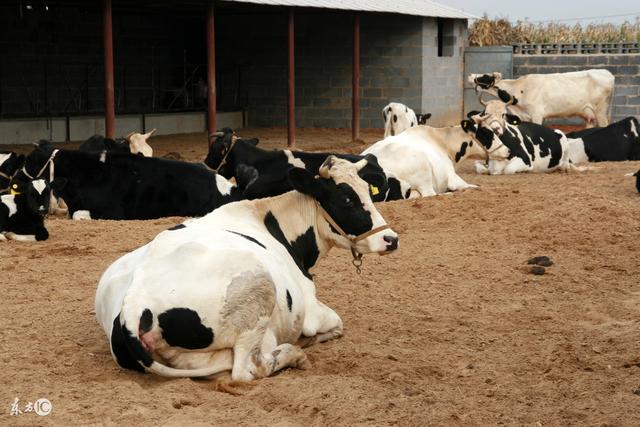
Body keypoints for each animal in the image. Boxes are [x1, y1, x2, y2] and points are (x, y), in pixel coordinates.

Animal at [94, 155, 400, 380]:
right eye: (346, 199)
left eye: (368, 192)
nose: (391, 239)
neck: (269, 221)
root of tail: (134, 305)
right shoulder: (311, 311)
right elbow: (335, 324)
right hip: (258, 290)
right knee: (247, 369)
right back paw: (293, 354)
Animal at [362, 122, 502, 199]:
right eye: (487, 134)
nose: (506, 150)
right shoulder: (452, 176)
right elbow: (474, 186)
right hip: (423, 170)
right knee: (430, 194)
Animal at [470, 69, 616, 127]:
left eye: (485, 76)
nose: (470, 75)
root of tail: (607, 73)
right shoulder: (524, 116)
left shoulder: (537, 114)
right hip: (589, 114)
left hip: (601, 111)